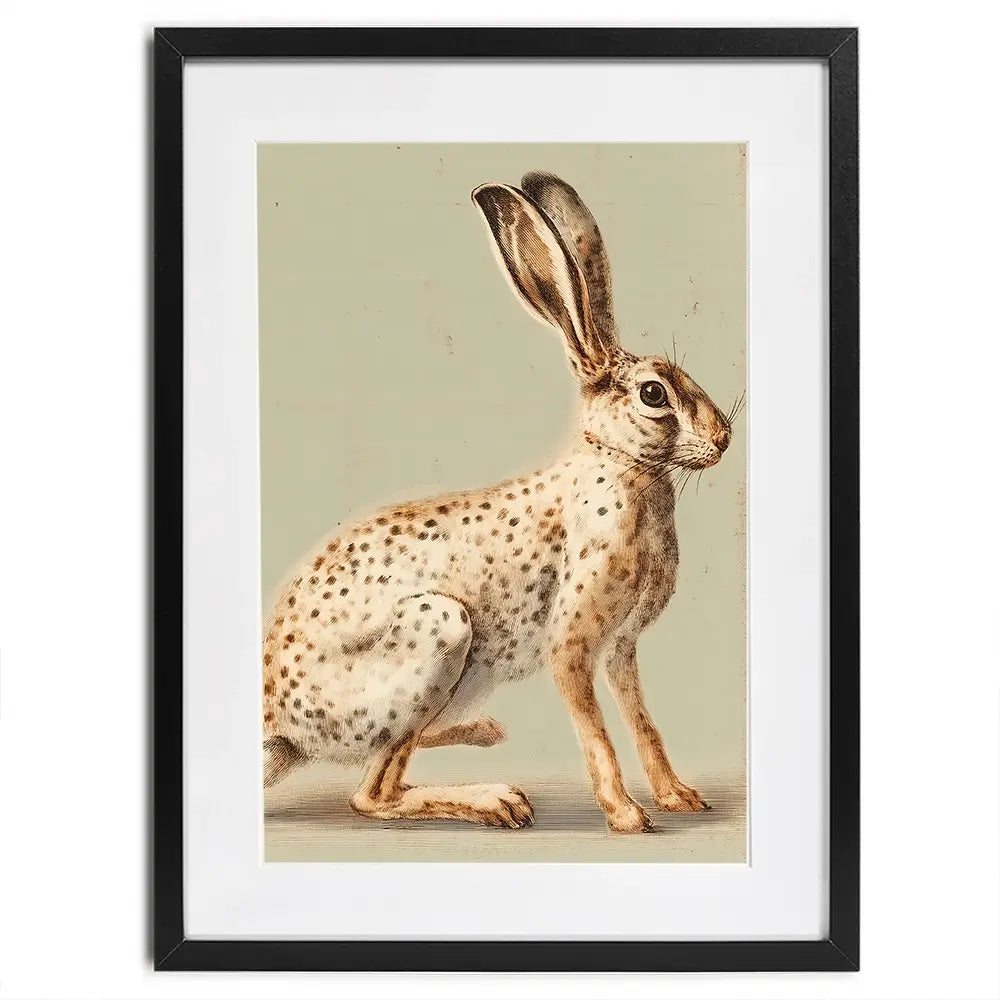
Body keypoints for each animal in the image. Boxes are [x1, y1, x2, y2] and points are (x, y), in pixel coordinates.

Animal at [262, 171, 735, 833]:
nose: (725, 438)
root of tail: (275, 720)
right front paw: (626, 815)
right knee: (372, 794)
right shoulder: (572, 644)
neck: (623, 468)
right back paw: (497, 800)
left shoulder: (621, 648)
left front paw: (678, 796)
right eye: (653, 395)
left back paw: (485, 733)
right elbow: (597, 735)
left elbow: (642, 721)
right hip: (439, 633)